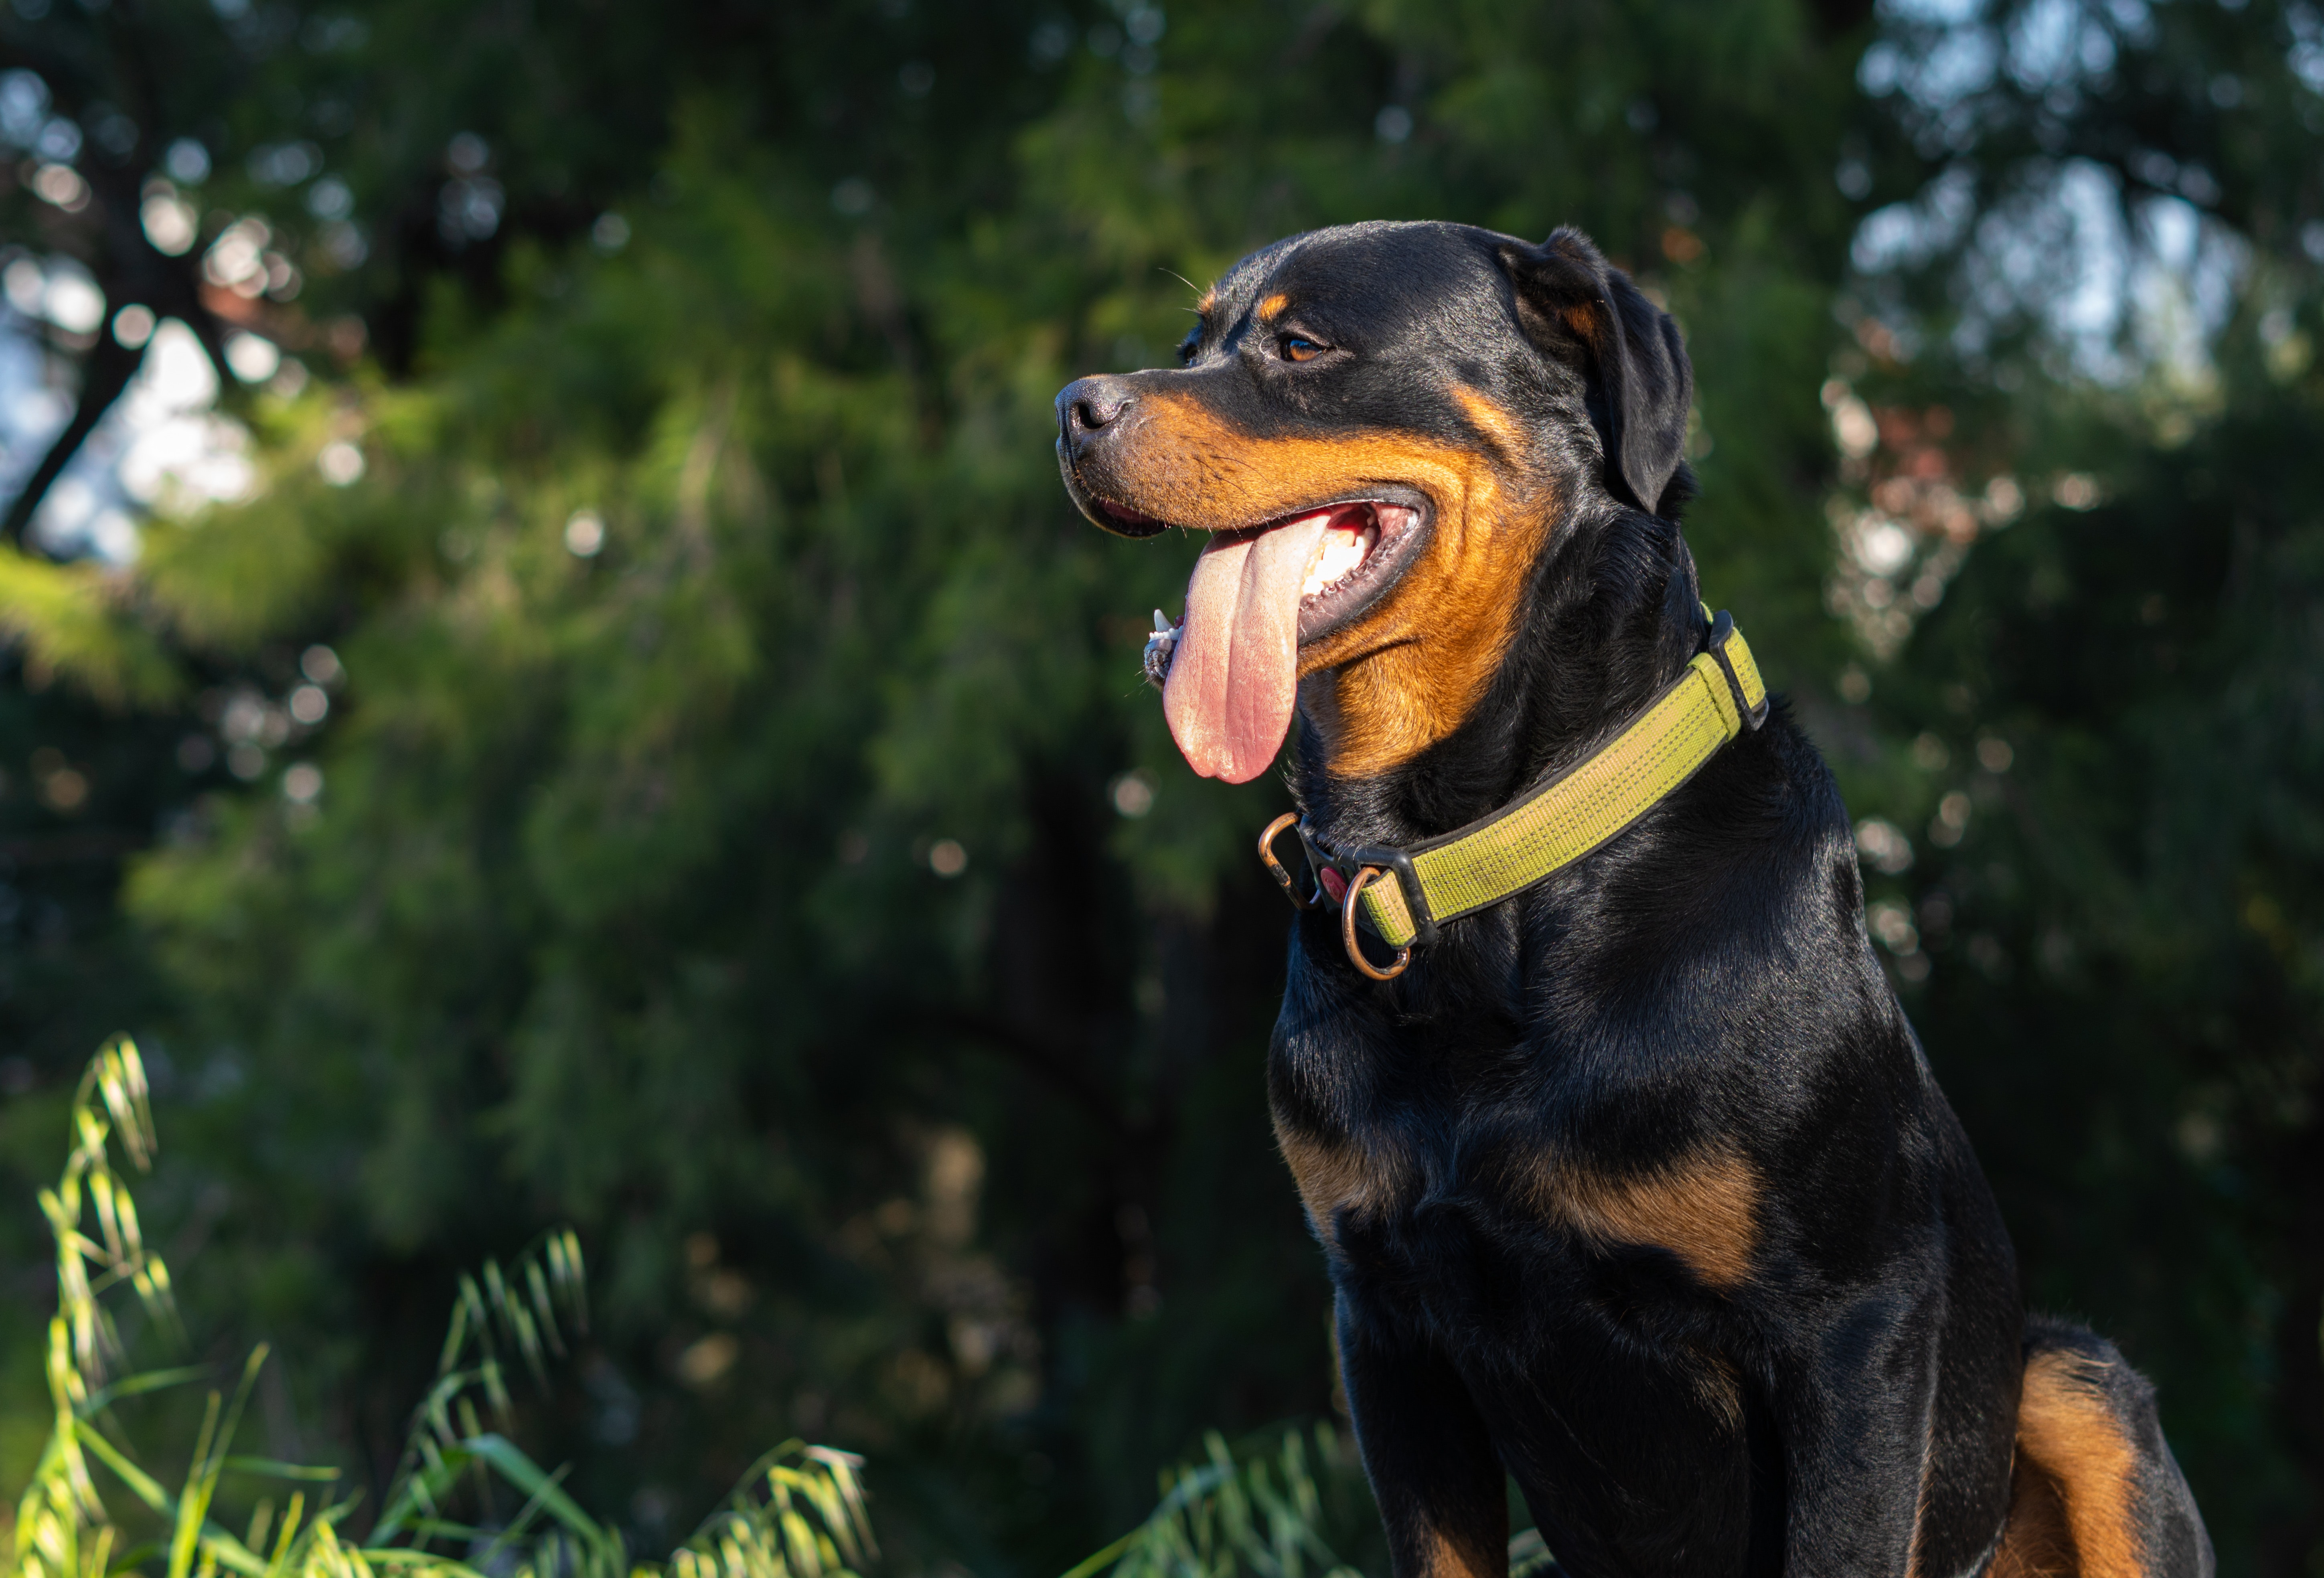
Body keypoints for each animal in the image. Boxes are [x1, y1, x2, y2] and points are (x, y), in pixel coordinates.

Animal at [1055, 222, 2212, 1578]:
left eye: (1299, 345)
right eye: (1193, 342)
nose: (1073, 408)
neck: (1479, 869)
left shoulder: (1854, 1332)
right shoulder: (1387, 1331)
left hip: (2074, 1378)